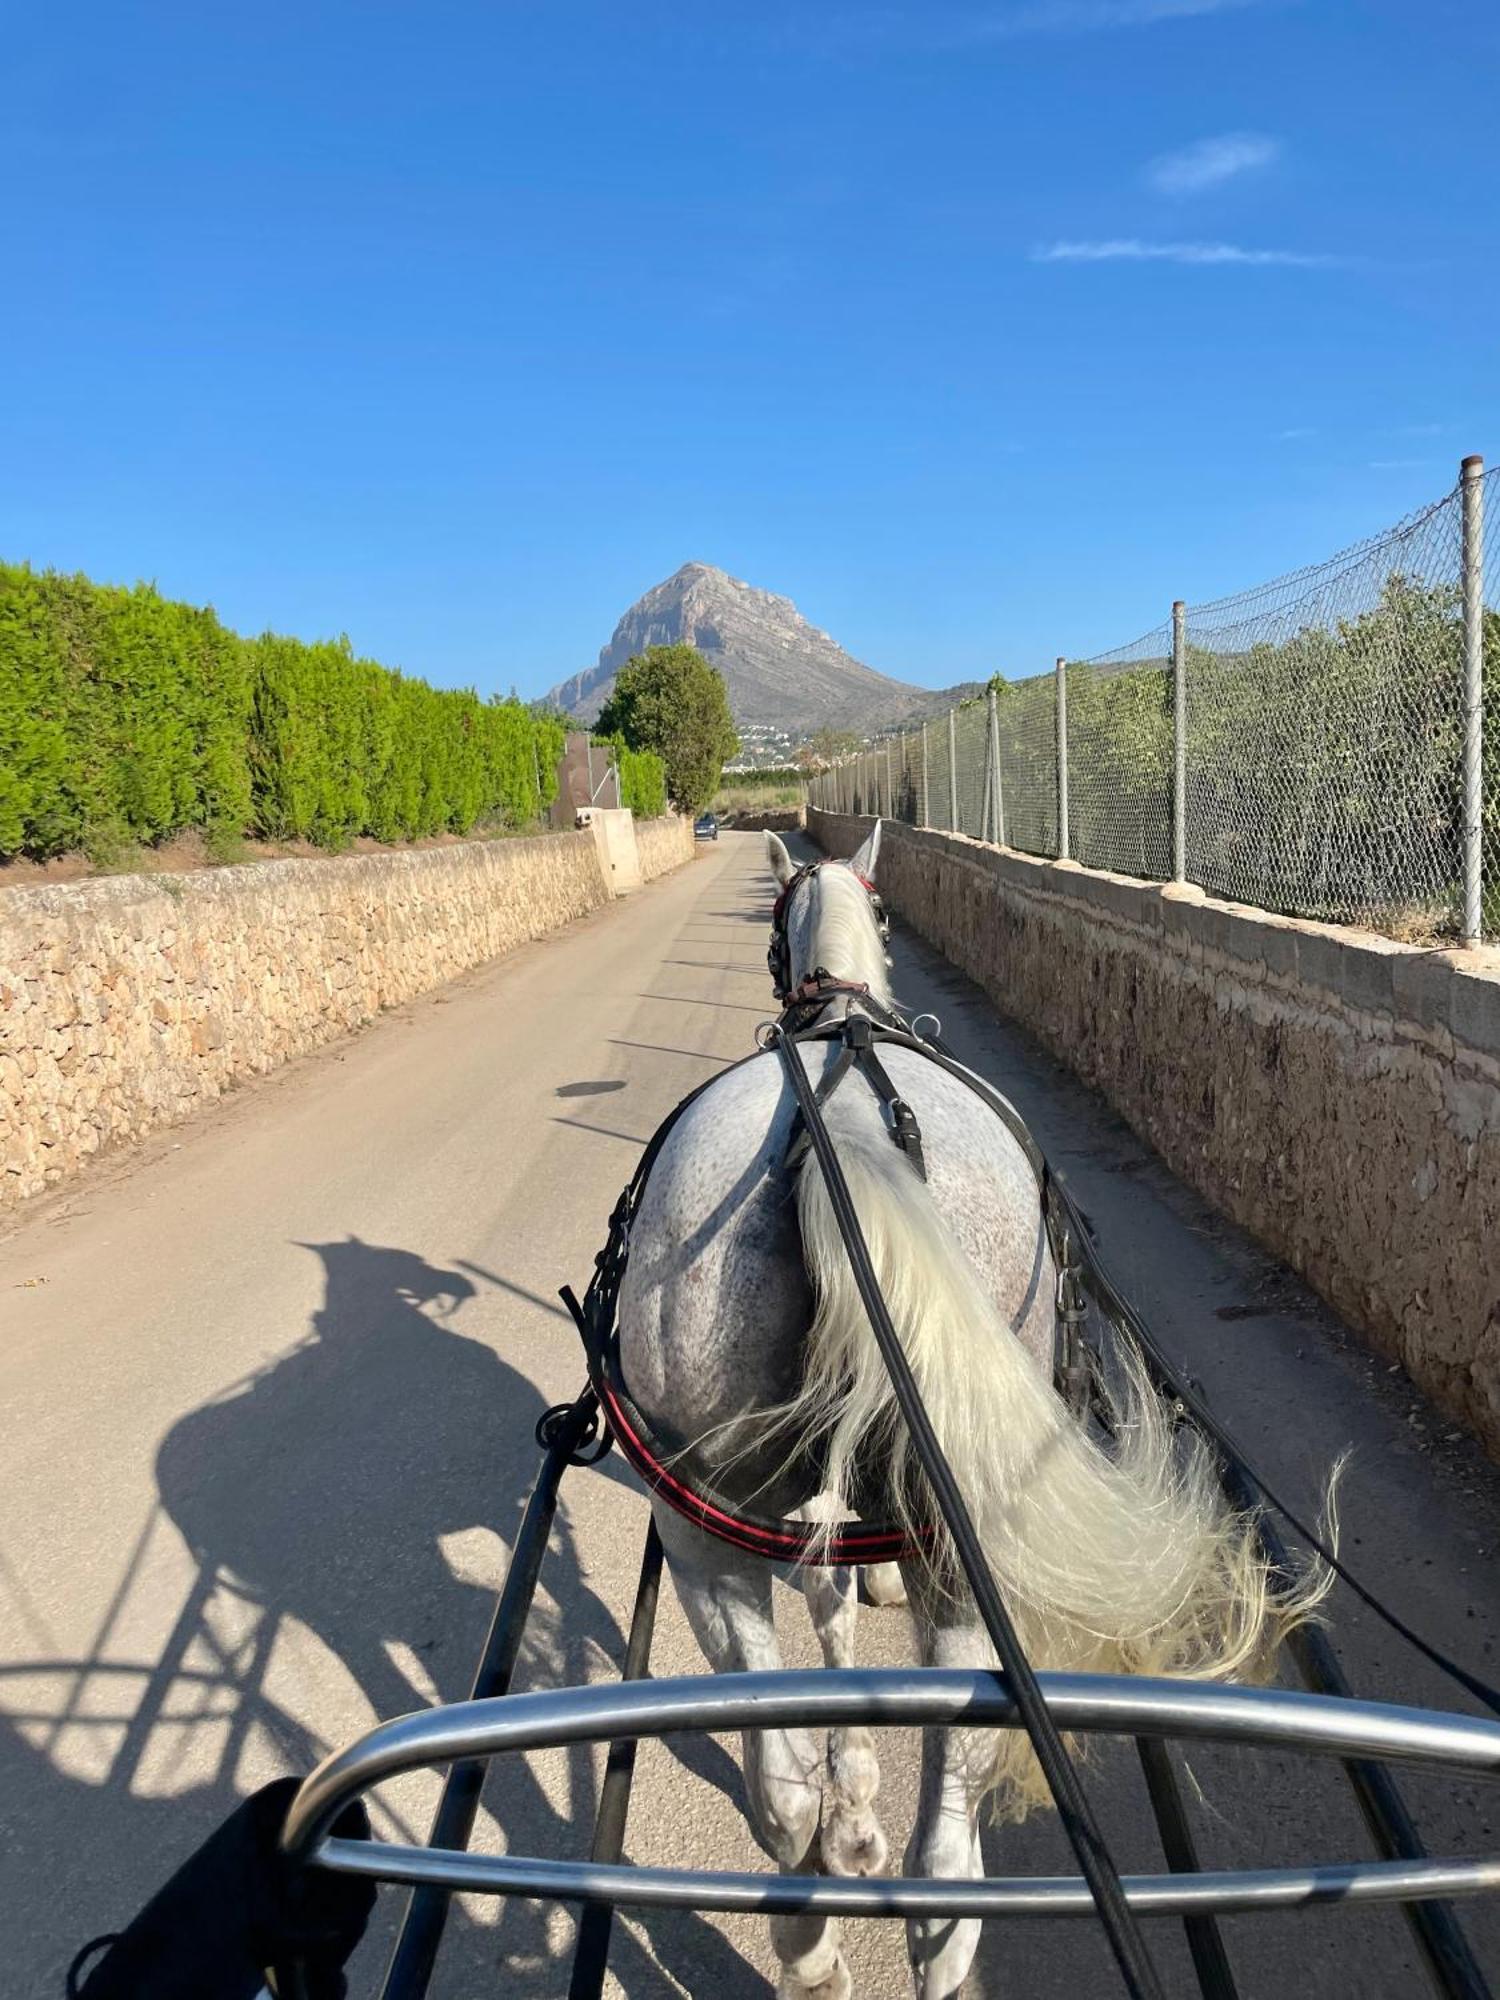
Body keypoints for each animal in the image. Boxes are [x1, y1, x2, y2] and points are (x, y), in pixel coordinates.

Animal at [616, 824, 1320, 2000]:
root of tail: (845, 1123)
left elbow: (828, 1607)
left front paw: (852, 1783)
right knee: (939, 1865)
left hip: (705, 1528)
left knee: (788, 1794)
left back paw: (813, 1938)